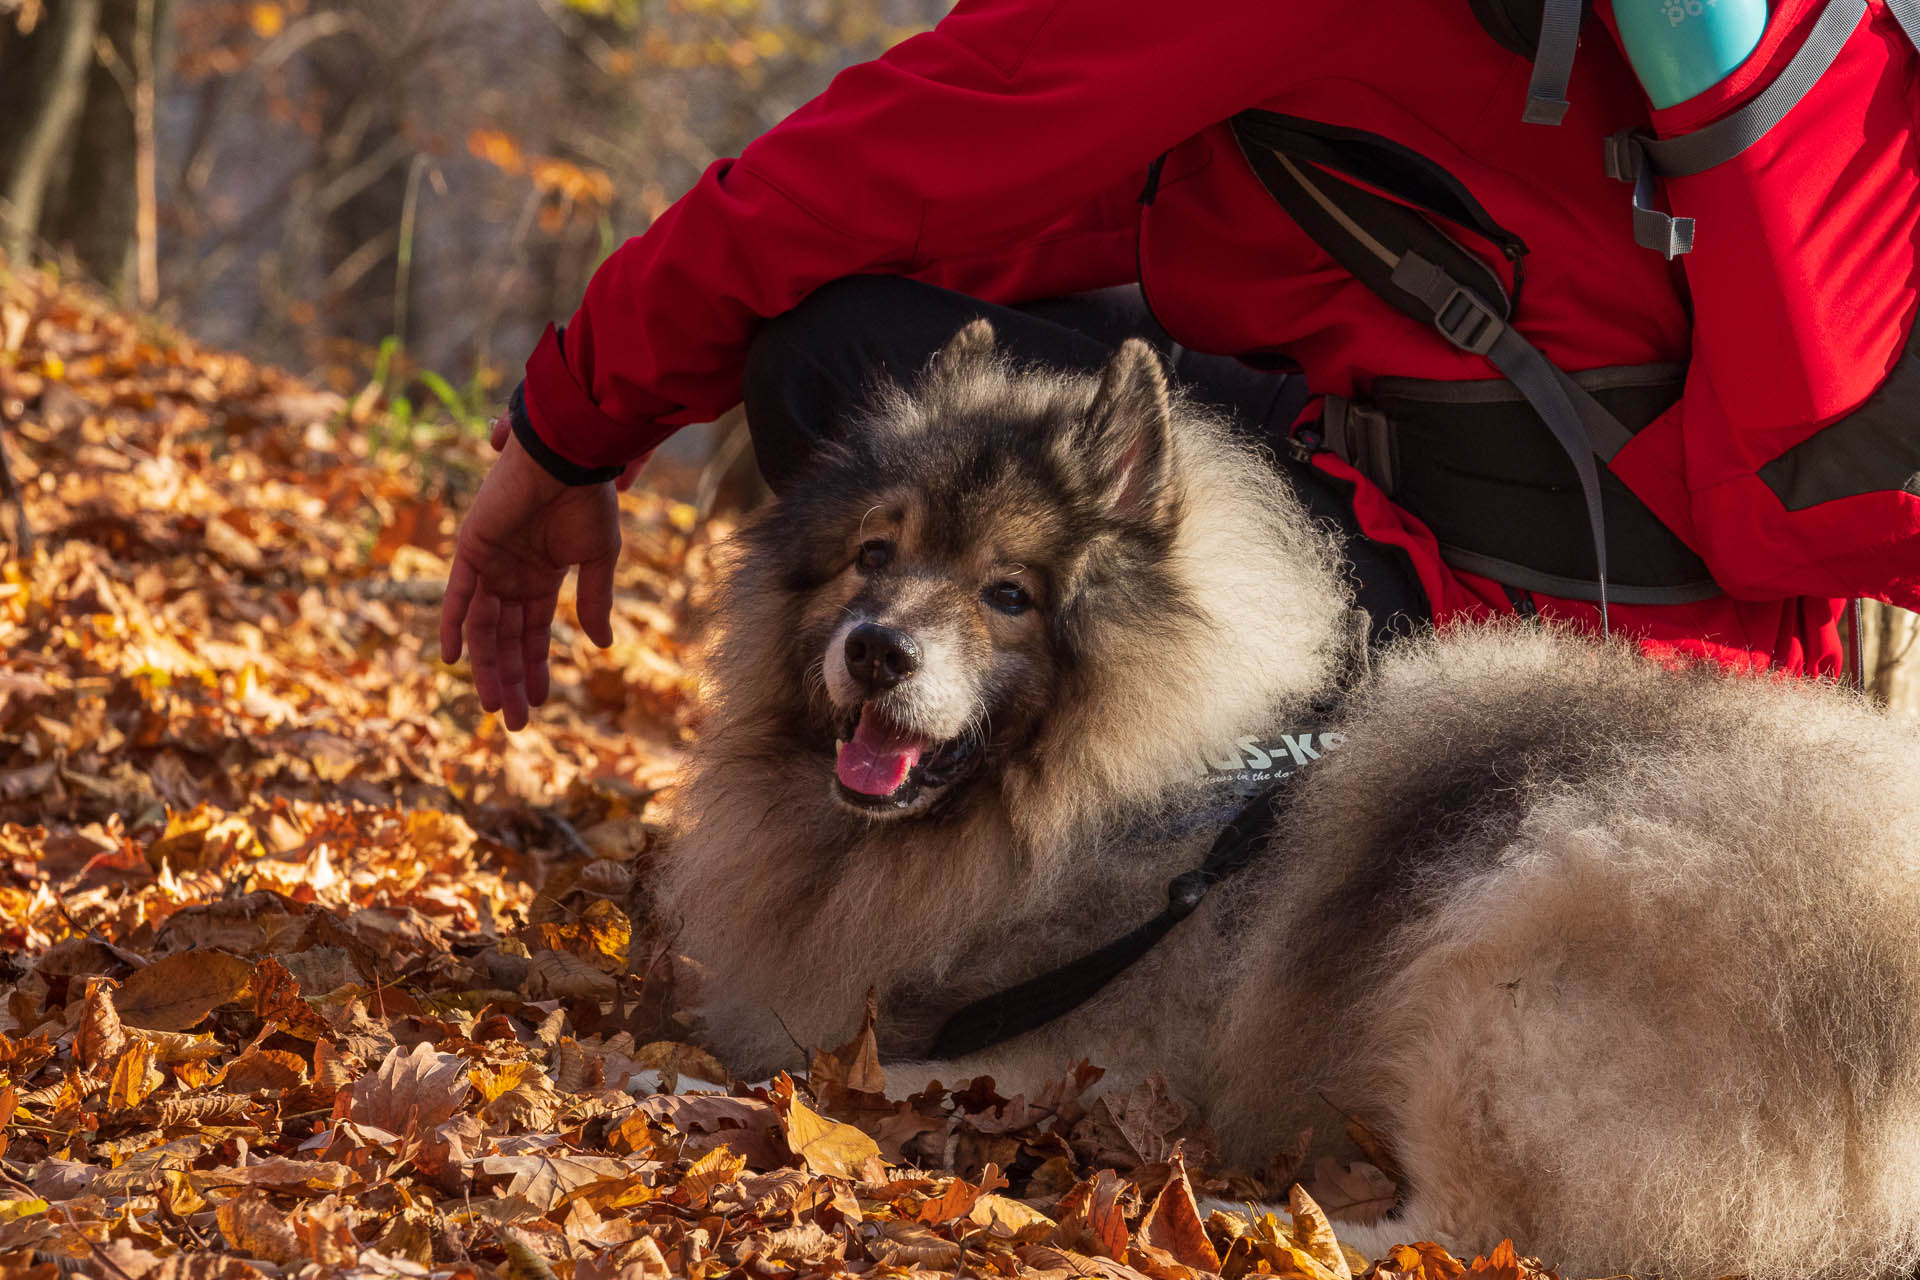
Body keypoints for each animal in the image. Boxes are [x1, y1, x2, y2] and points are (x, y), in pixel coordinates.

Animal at [656, 322, 1920, 1280]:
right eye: (875, 554)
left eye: (1008, 594)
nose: (876, 651)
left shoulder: (1095, 1051)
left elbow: (840, 1076)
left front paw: (698, 1088)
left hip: (1516, 935)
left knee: (1464, 1238)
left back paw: (1226, 1217)